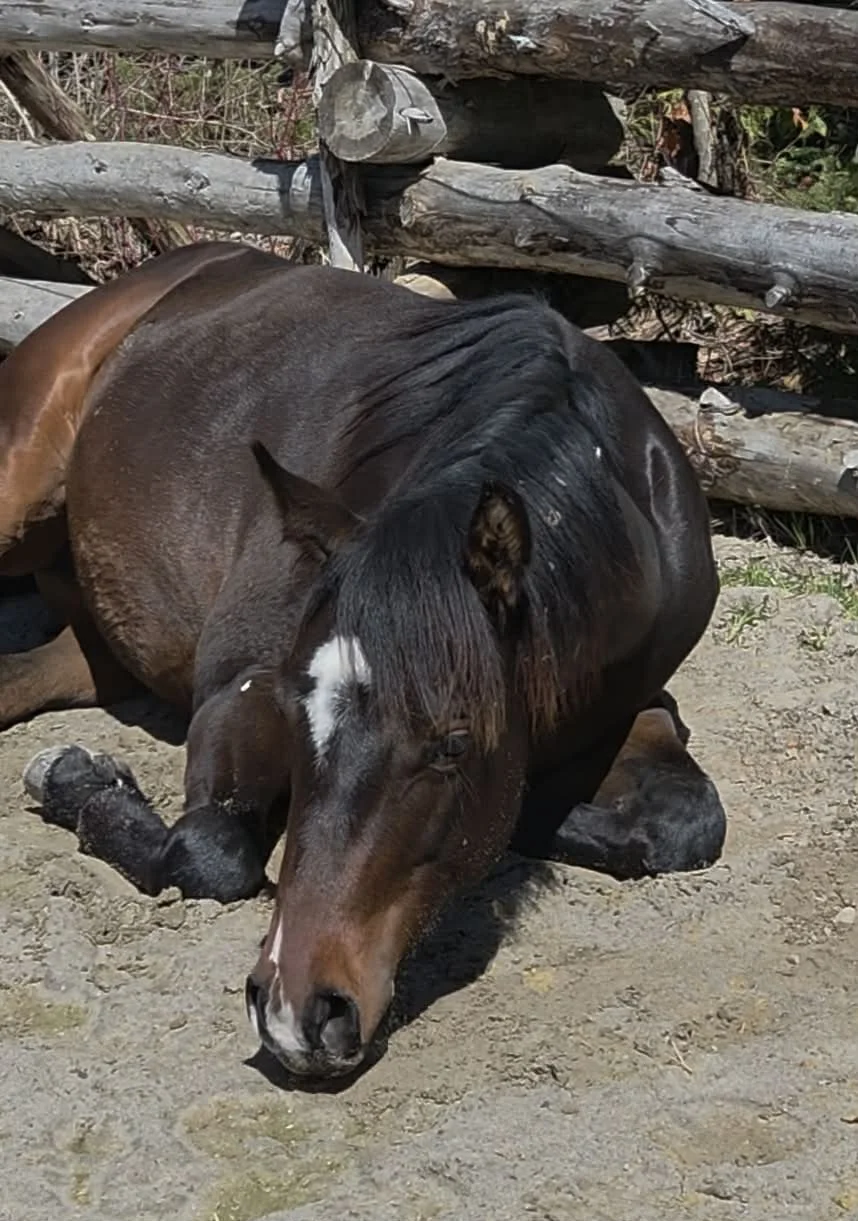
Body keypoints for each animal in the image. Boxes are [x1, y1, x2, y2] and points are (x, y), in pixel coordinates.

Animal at [0, 240, 726, 1081]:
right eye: (296, 711)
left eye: (452, 744)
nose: (297, 1010)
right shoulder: (242, 688)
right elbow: (210, 853)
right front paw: (79, 782)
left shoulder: (634, 702)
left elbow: (685, 822)